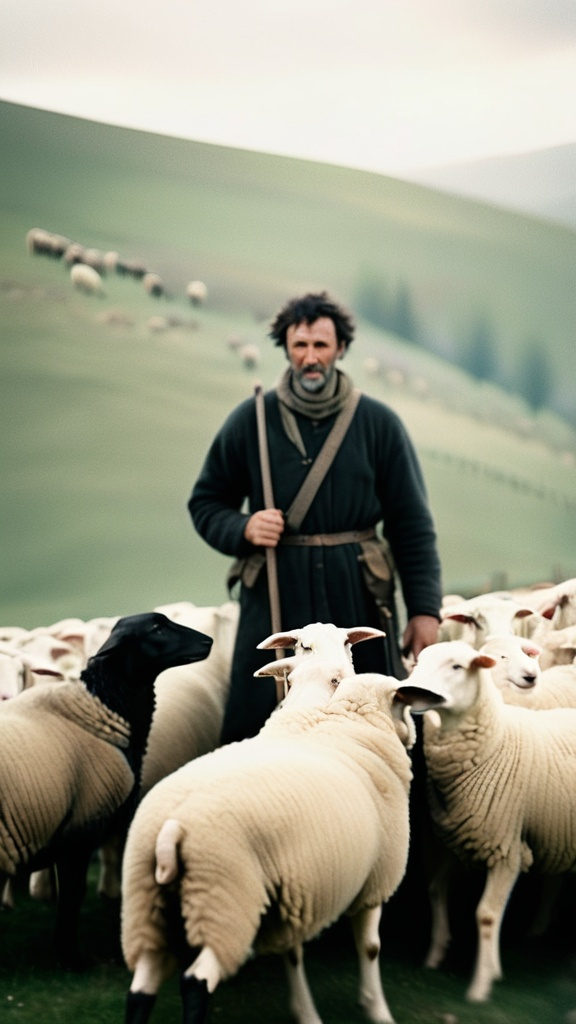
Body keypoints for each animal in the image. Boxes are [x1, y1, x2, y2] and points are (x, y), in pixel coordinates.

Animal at [0, 610, 211, 970]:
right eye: (157, 628)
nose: (208, 641)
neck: (105, 708)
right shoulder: (79, 831)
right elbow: (73, 896)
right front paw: (72, 957)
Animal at [120, 655, 416, 1024]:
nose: (413, 735)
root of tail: (172, 824)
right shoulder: (375, 879)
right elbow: (371, 947)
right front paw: (377, 1010)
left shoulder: (292, 891)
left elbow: (292, 952)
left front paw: (306, 1012)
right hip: (225, 899)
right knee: (196, 980)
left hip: (151, 905)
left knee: (141, 987)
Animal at [397, 638, 576, 999]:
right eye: (419, 661)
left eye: (457, 666)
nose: (409, 689)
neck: (496, 740)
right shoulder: (454, 836)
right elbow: (435, 890)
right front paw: (435, 954)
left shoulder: (506, 849)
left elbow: (487, 915)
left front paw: (483, 981)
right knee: (554, 879)